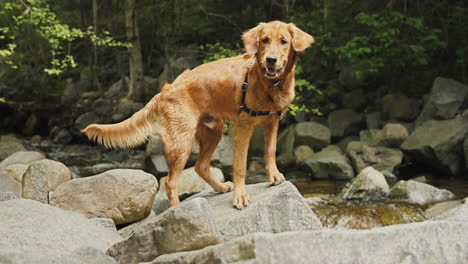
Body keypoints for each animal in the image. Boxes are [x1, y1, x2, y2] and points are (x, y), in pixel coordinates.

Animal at [83, 21, 314, 208]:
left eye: (283, 41)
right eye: (264, 40)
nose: (270, 60)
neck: (269, 85)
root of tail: (166, 89)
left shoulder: (273, 122)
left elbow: (270, 151)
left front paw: (274, 175)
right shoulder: (243, 128)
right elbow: (240, 166)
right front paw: (240, 196)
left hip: (213, 130)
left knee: (200, 166)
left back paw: (220, 187)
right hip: (182, 141)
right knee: (170, 182)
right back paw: (177, 209)